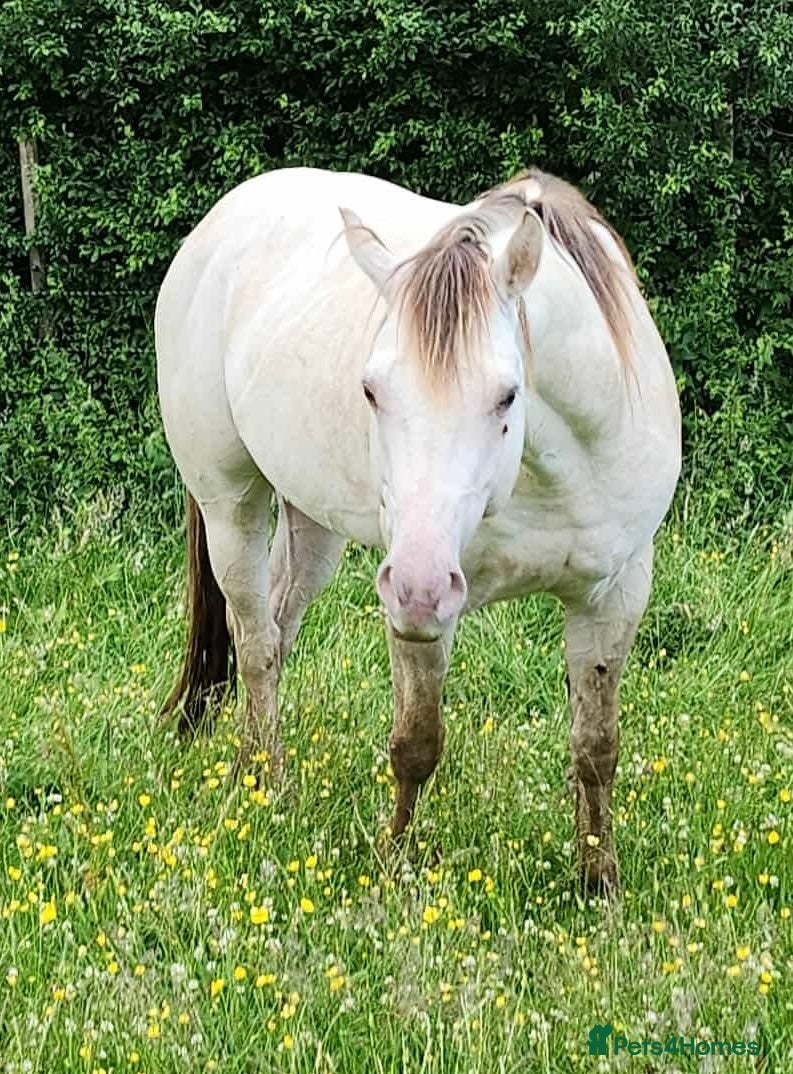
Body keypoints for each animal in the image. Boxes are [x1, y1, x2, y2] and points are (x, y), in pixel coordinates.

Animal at [155, 166, 681, 892]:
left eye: (507, 394)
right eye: (372, 390)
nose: (417, 585)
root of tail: (220, 220)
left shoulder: (616, 594)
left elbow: (596, 747)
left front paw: (598, 881)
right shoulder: (422, 616)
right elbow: (417, 740)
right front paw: (392, 864)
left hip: (314, 525)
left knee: (276, 630)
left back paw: (249, 767)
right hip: (230, 503)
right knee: (255, 642)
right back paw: (270, 787)